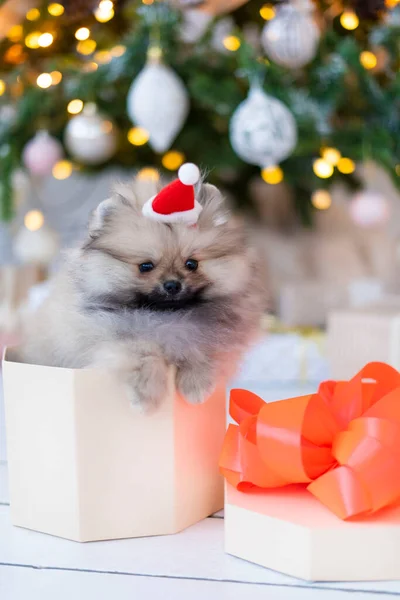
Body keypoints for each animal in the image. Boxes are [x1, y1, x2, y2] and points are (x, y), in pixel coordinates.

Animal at [16, 171, 266, 410]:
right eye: (146, 266)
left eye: (191, 264)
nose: (172, 284)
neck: (167, 317)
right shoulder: (112, 337)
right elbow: (144, 353)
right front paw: (146, 396)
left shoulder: (212, 332)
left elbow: (202, 348)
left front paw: (196, 388)